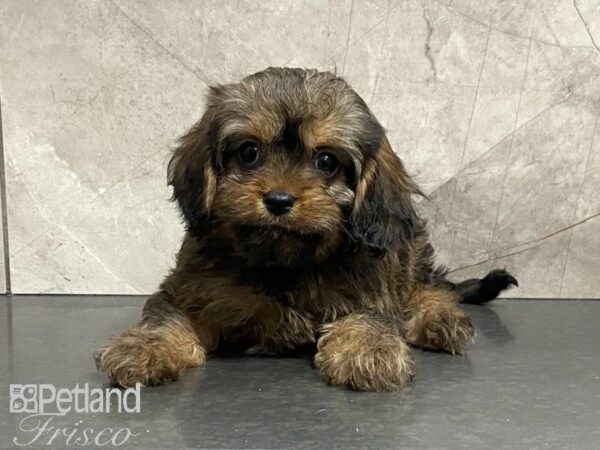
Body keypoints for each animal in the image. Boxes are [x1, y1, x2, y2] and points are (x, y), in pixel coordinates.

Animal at [94, 67, 516, 390]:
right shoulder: (192, 289)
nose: (279, 200)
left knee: (429, 288)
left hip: (409, 250)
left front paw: (368, 349)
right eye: (250, 152)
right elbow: (166, 315)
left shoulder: (372, 290)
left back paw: (440, 318)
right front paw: (145, 347)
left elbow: (373, 317)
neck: (284, 264)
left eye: (326, 160)